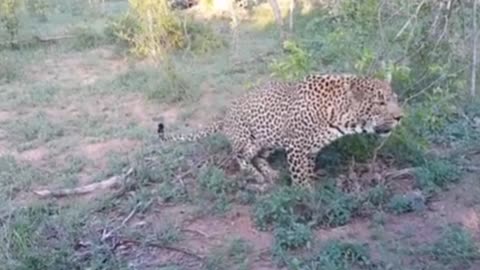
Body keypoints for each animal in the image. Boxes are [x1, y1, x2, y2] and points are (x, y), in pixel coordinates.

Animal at [157, 73, 402, 192]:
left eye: (395, 99)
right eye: (380, 103)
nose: (400, 117)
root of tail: (225, 116)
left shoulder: (310, 150)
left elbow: (307, 169)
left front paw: (311, 185)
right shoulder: (296, 147)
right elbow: (299, 175)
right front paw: (305, 196)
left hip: (269, 142)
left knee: (258, 158)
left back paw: (270, 173)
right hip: (248, 140)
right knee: (239, 157)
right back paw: (256, 176)